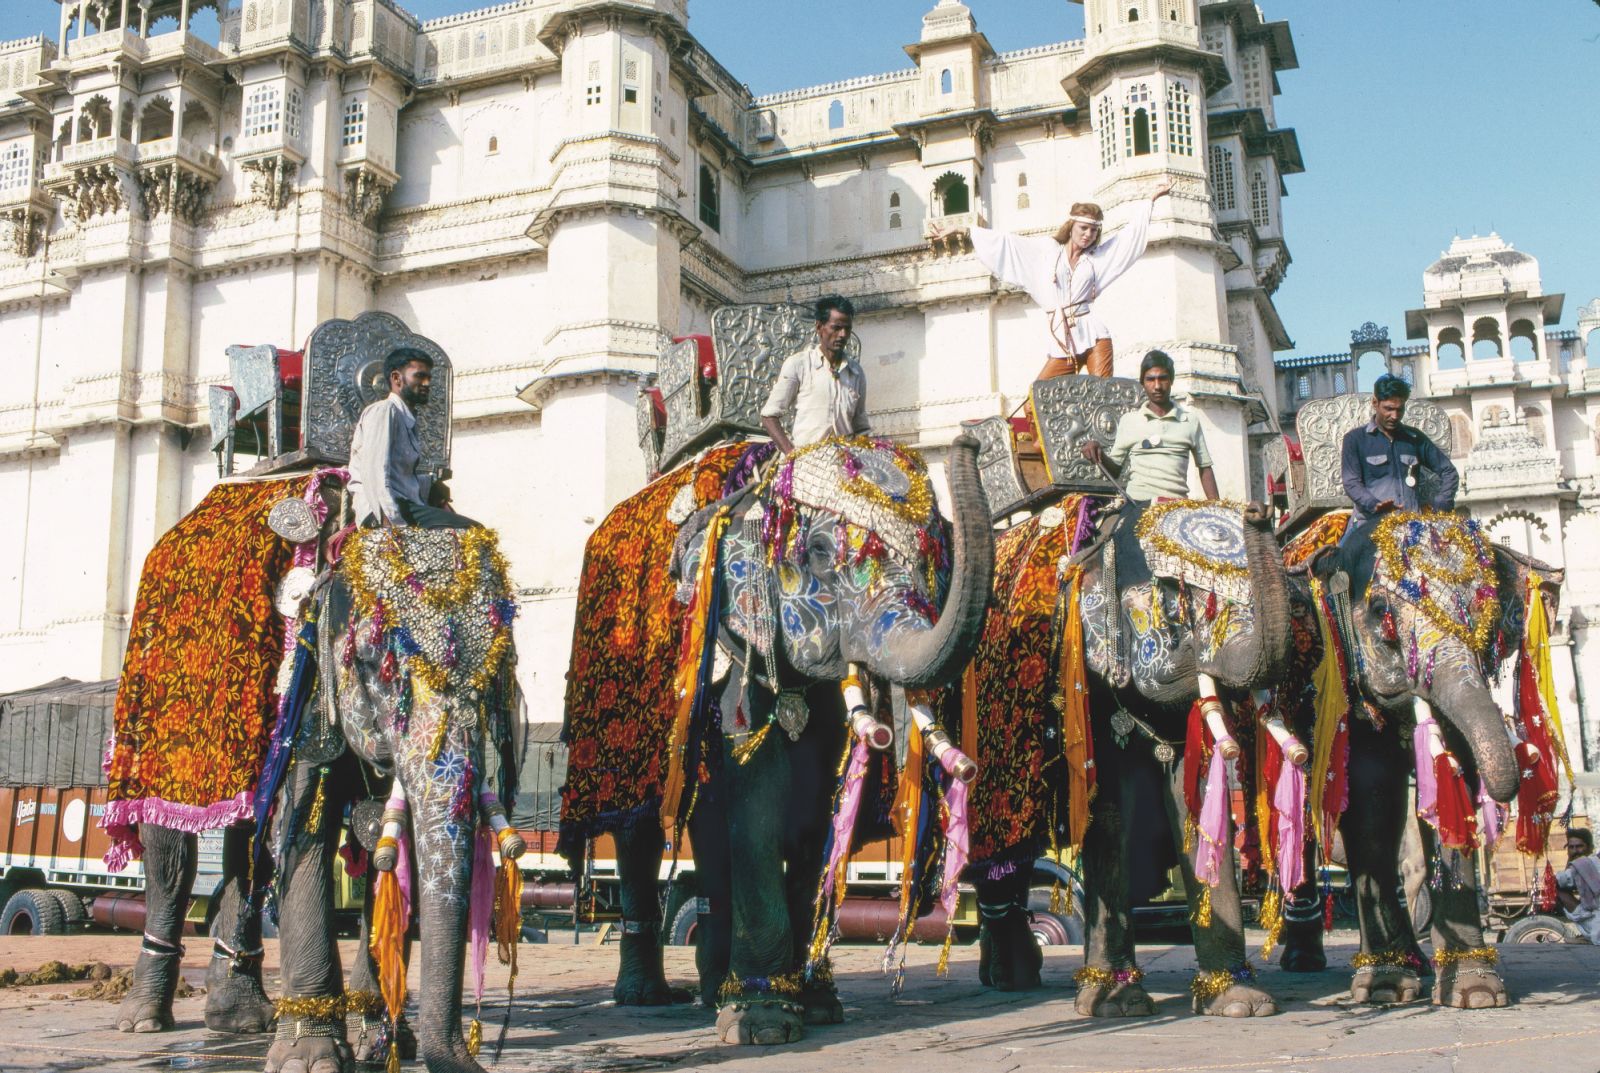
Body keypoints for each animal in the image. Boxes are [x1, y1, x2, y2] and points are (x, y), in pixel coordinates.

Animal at [558, 434, 993, 1046]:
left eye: (936, 563)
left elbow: (818, 815)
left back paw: (713, 989)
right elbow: (758, 803)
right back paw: (651, 997)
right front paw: (761, 1025)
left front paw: (818, 1007)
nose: (967, 440)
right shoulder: (738, 661)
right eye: (819, 552)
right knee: (637, 835)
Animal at [966, 495, 1292, 1018]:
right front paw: (1114, 1003)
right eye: (1179, 606)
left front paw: (1242, 1003)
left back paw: (1011, 975)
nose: (1260, 510)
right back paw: (1011, 977)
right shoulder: (1088, 684)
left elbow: (1197, 798)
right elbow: (1110, 812)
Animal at [1275, 510, 1557, 1009]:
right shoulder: (1349, 688)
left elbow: (1452, 782)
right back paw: (1308, 961)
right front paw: (1385, 988)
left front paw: (1475, 992)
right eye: (1381, 616)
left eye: (1487, 618)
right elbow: (1371, 798)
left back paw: (1419, 964)